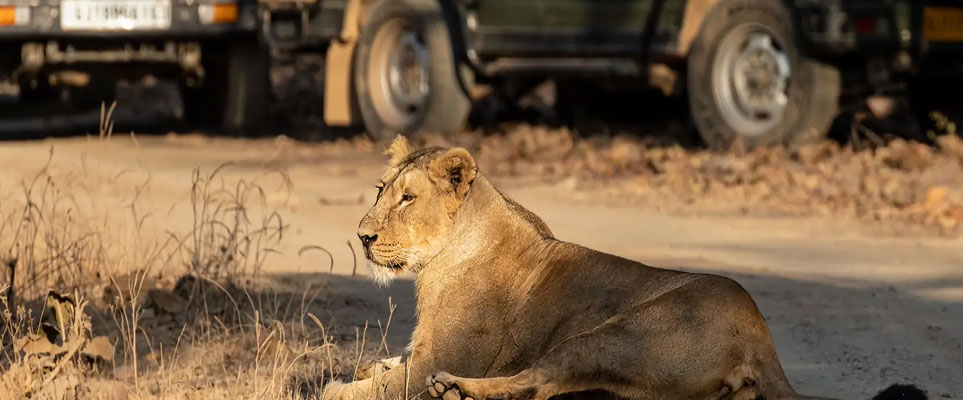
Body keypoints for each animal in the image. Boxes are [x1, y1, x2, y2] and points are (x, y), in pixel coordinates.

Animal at [321, 135, 926, 400]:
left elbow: (372, 388)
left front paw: (341, 386)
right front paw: (367, 366)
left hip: (609, 336)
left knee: (539, 380)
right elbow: (382, 366)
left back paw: (458, 391)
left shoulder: (439, 356)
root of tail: (761, 336)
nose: (363, 236)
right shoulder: (418, 352)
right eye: (380, 189)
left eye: (407, 199)